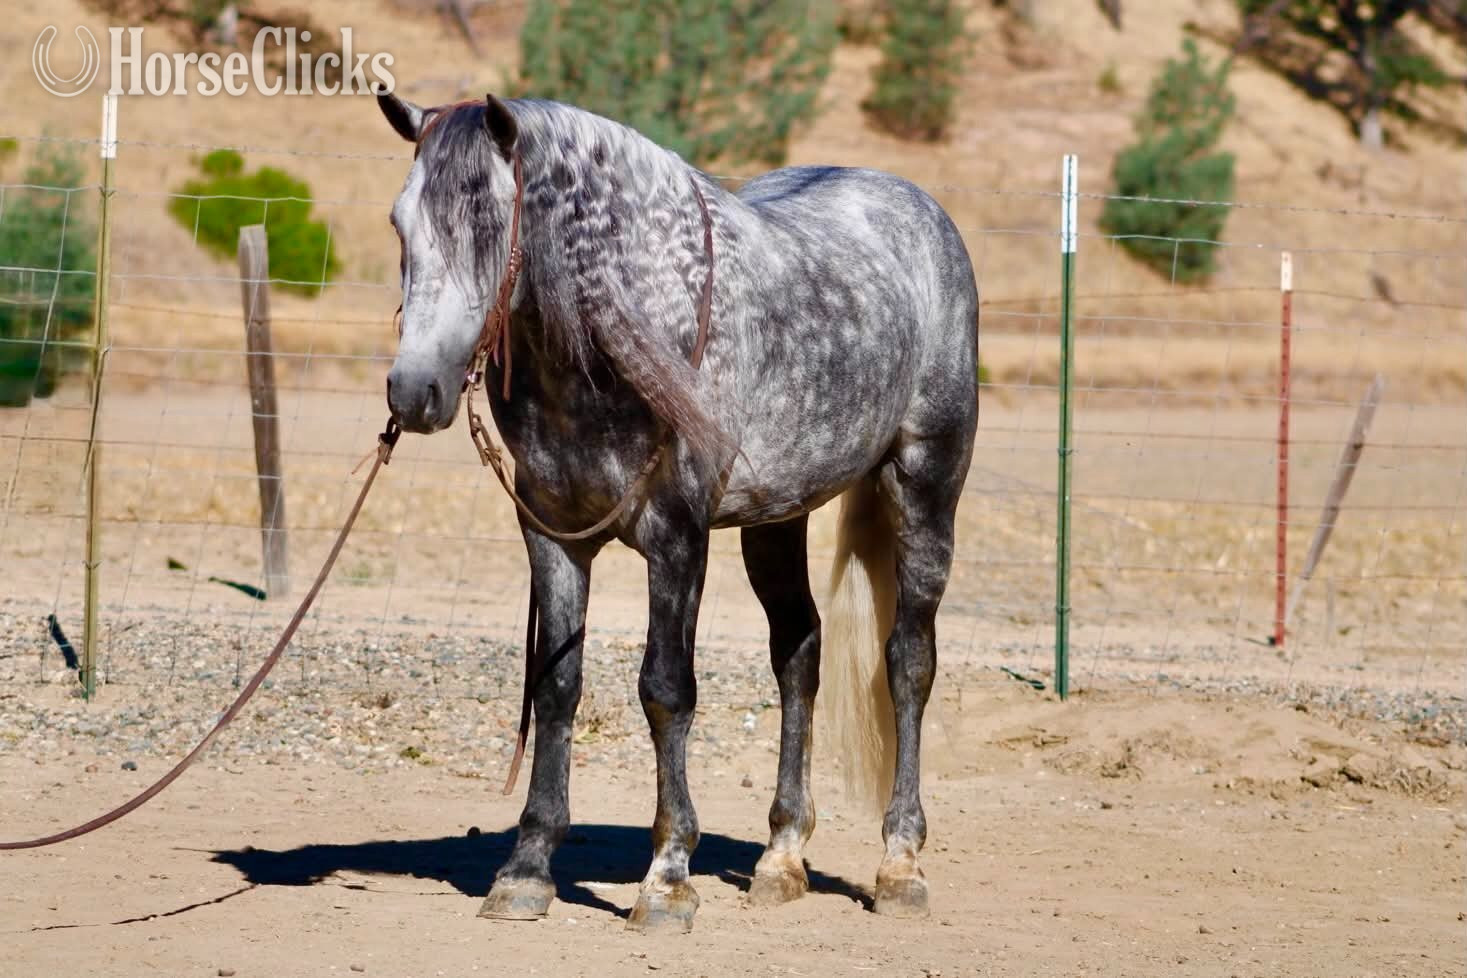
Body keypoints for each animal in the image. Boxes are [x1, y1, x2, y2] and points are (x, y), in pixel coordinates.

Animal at [375, 90, 979, 931]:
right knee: (799, 654)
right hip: (775, 520)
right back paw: (781, 858)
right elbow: (555, 687)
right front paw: (526, 870)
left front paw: (666, 879)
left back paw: (899, 866)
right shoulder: (552, 536)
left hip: (924, 488)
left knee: (908, 664)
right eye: (400, 223)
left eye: (490, 219)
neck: (621, 343)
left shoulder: (677, 538)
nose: (412, 391)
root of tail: (916, 208)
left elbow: (665, 691)